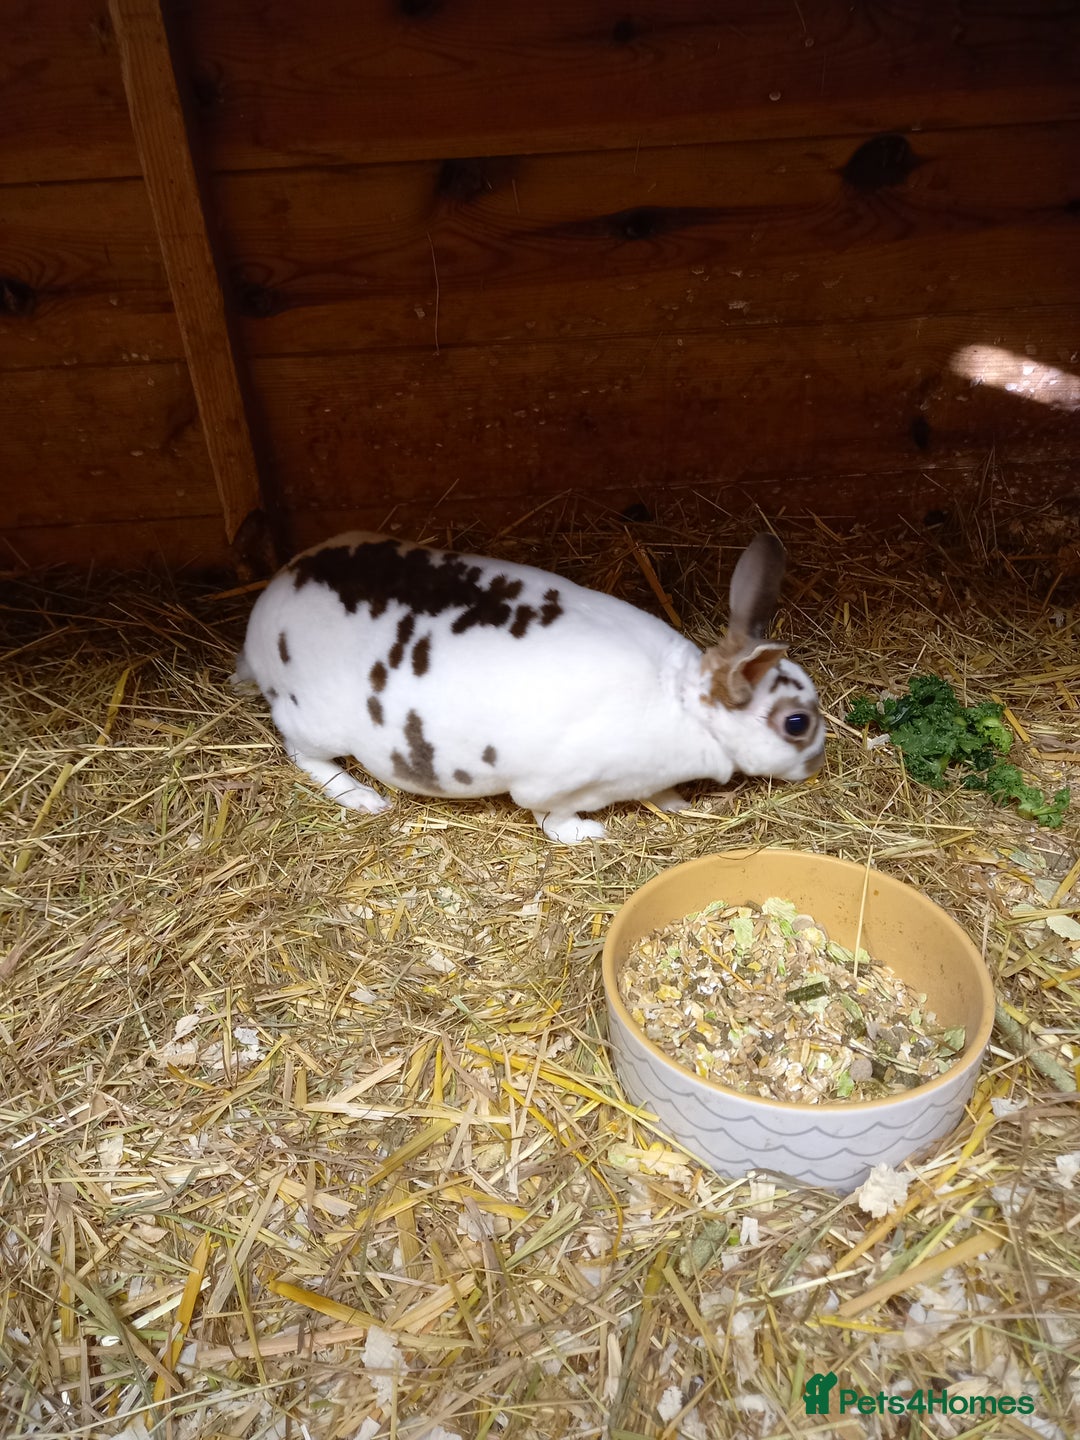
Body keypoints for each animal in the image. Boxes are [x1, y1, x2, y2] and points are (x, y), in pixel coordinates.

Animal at [233, 529, 824, 844]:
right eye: (796, 722)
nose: (817, 764)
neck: (682, 703)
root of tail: (263, 616)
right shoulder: (553, 786)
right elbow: (551, 818)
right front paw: (589, 834)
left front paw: (676, 804)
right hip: (313, 723)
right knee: (302, 754)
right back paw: (362, 797)